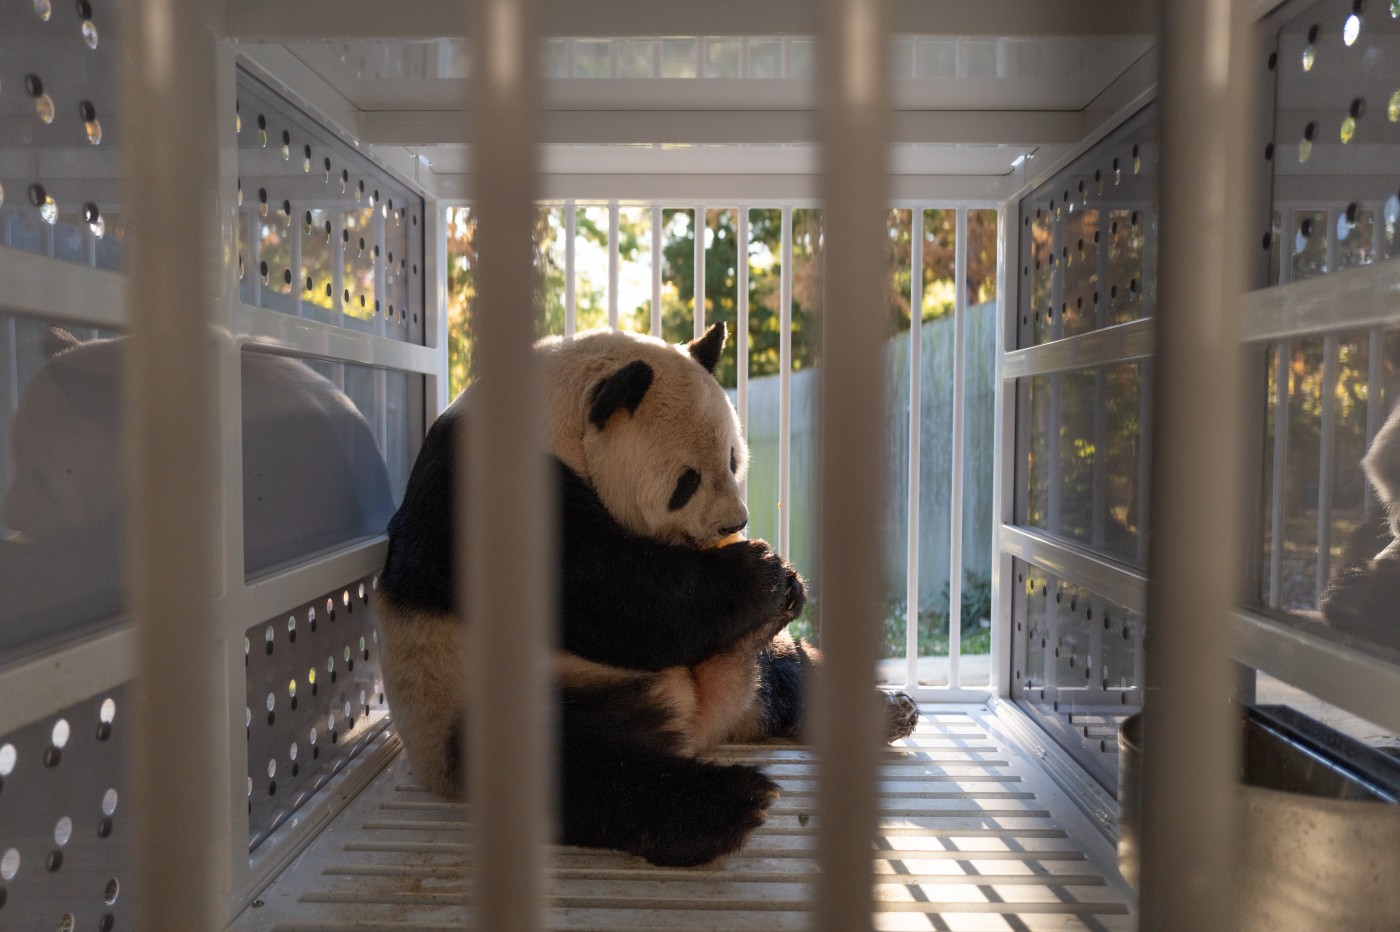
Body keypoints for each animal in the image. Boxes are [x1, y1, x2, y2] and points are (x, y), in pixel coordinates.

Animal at [375, 321, 918, 862]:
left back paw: (886, 710)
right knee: (576, 765)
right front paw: (758, 572)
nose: (734, 524)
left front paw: (787, 584)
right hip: (485, 696)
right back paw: (728, 804)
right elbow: (608, 593)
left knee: (788, 670)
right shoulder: (488, 489)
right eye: (687, 481)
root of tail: (697, 721)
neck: (559, 424)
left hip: (736, 662)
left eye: (733, 459)